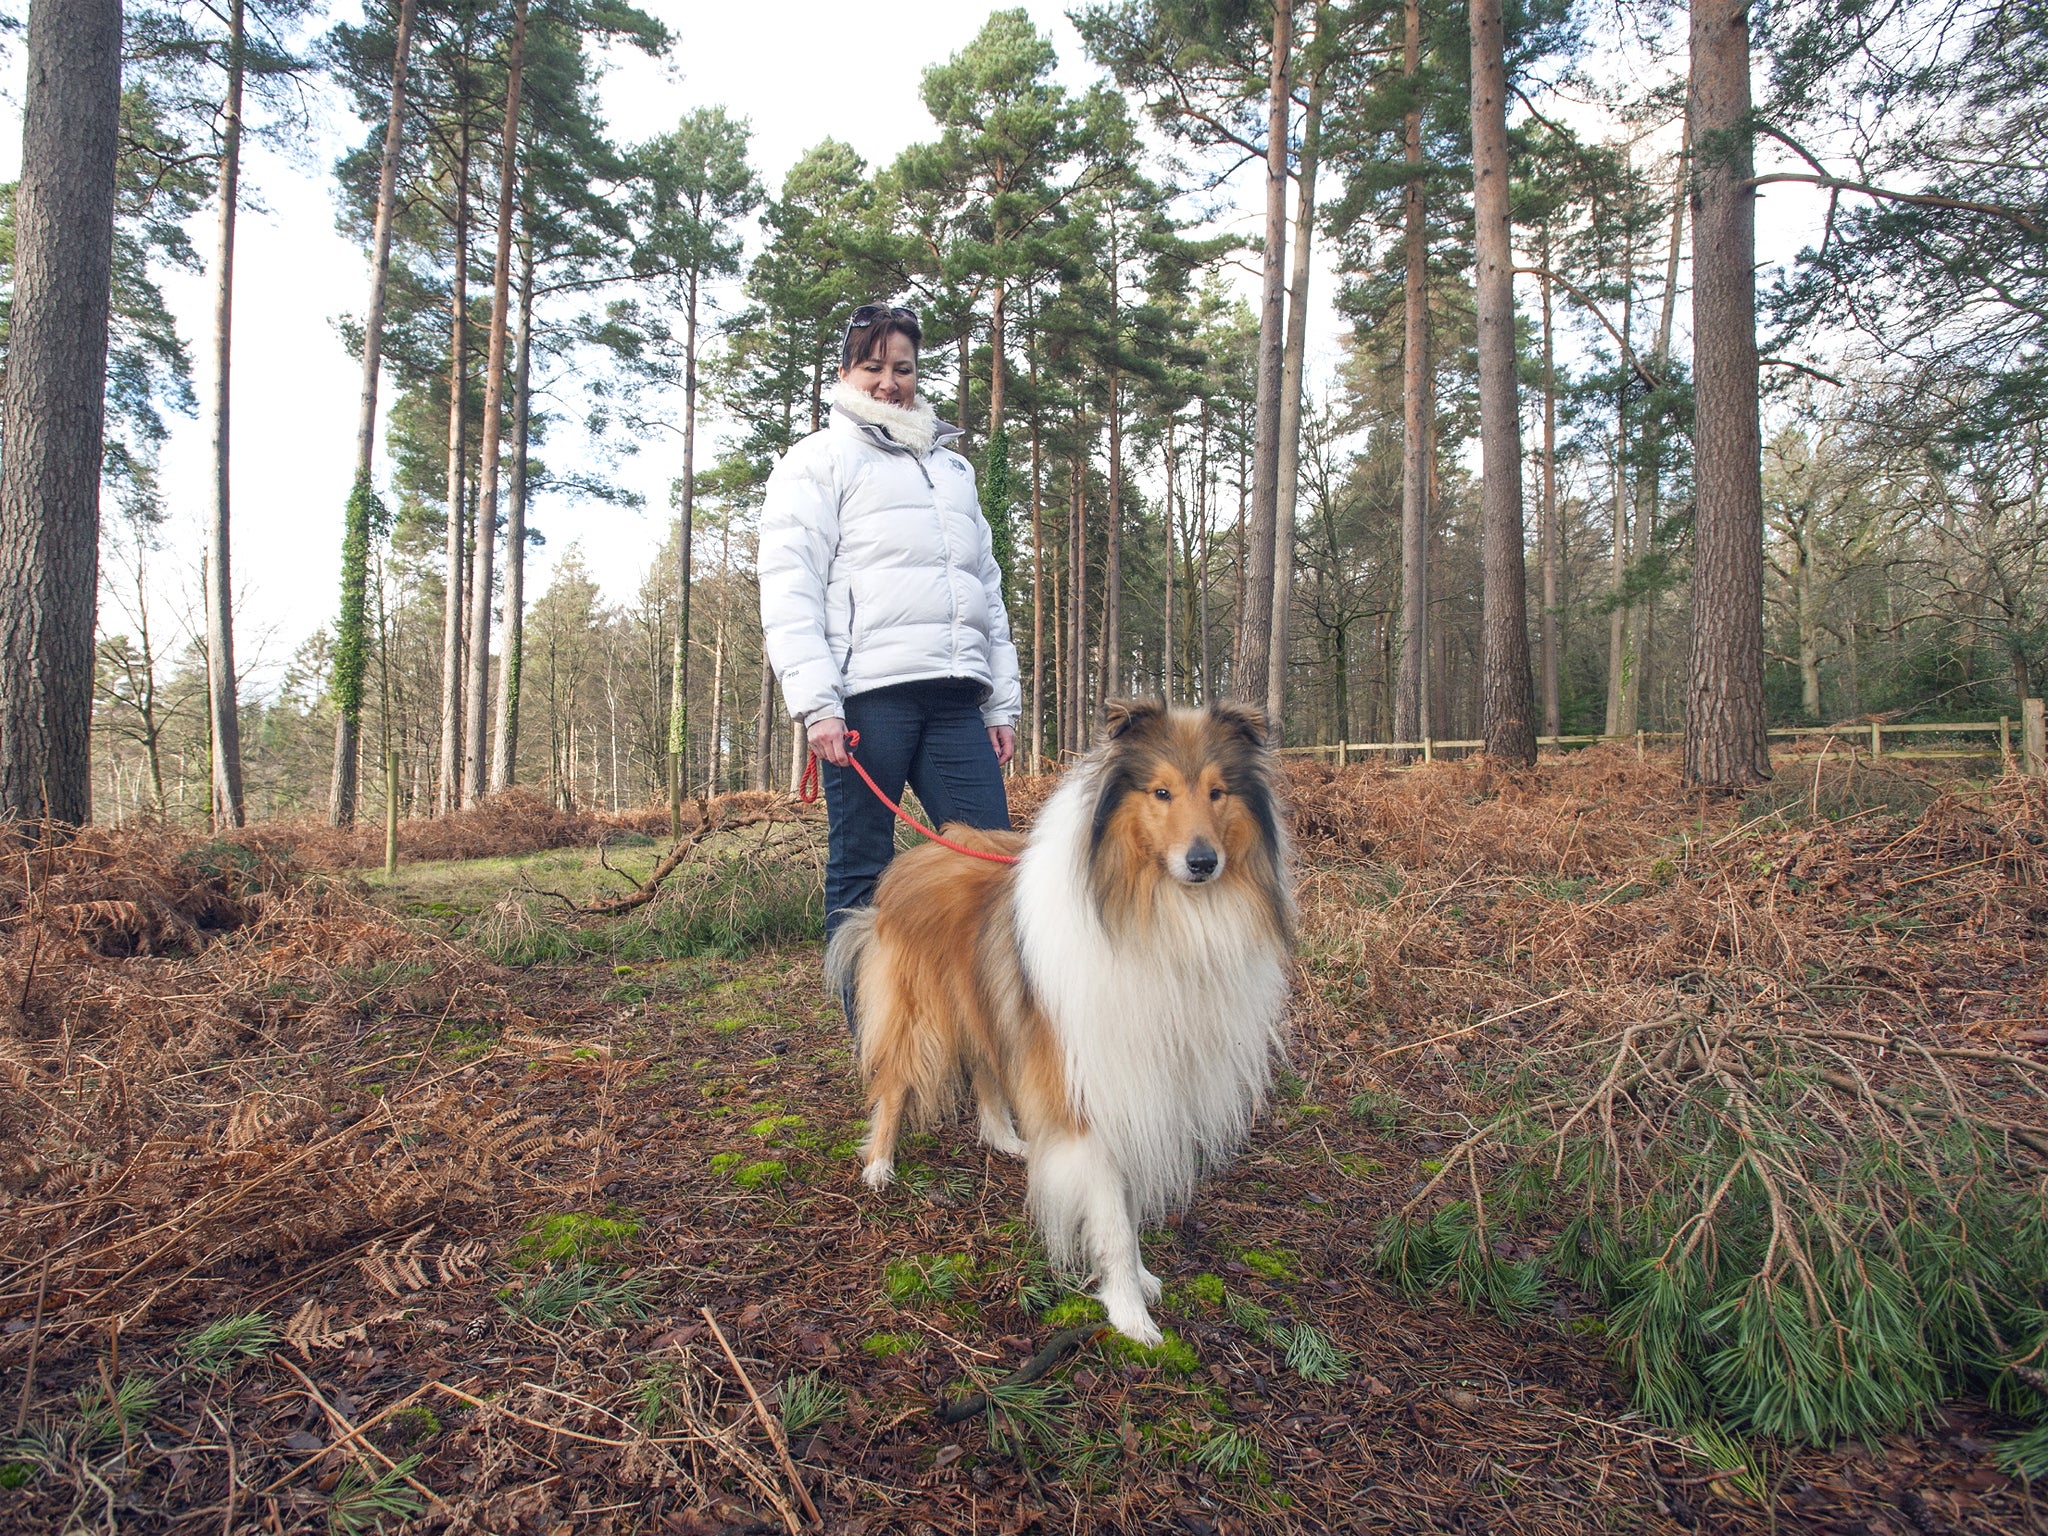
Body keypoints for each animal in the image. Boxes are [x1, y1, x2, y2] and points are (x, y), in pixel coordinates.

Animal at [819, 700, 1286, 1343]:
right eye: (1161, 791)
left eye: (1218, 792)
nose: (1202, 862)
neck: (1151, 912)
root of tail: (915, 855)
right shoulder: (1088, 1088)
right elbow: (1112, 1220)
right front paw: (1131, 1316)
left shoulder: (1139, 1084)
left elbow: (1125, 1205)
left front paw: (1140, 1282)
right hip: (920, 1018)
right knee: (893, 1085)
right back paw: (880, 1167)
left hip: (987, 1006)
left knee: (987, 1070)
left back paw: (1005, 1138)